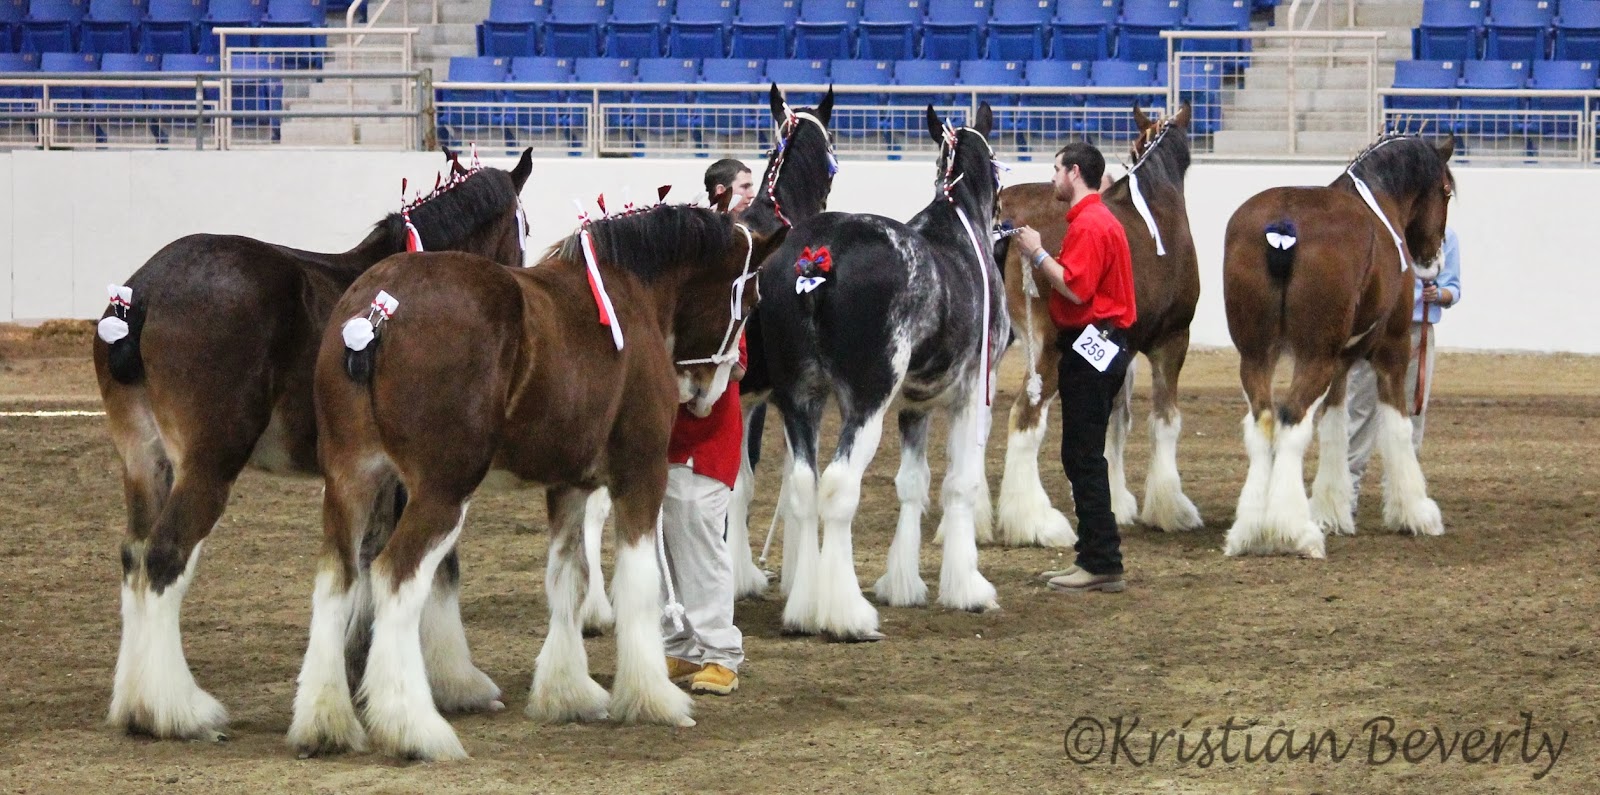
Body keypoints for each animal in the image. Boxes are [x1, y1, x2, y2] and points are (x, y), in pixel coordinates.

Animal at [91, 147, 532, 742]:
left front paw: (361, 673)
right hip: (207, 466)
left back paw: (134, 704)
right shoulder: (420, 475)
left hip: (142, 461)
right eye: (521, 227)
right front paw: (456, 682)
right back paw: (178, 711)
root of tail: (141, 297)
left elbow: (366, 561)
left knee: (134, 555)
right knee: (163, 557)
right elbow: (436, 570)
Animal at [287, 202, 782, 761]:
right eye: (750, 301)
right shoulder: (640, 473)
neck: (632, 295)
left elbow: (569, 579)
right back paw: (415, 727)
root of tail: (377, 312)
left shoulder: (569, 485)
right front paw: (654, 698)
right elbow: (638, 584)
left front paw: (568, 693)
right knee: (395, 577)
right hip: (440, 491)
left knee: (338, 579)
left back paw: (324, 723)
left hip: (351, 480)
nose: (714, 390)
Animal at [757, 104, 1007, 641]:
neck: (960, 229)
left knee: (805, 486)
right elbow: (960, 484)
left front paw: (903, 585)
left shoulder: (914, 406)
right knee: (837, 486)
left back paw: (804, 610)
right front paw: (968, 589)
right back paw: (847, 616)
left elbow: (912, 484)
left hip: (800, 400)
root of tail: (817, 256)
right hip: (866, 402)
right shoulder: (974, 395)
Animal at [1220, 133, 1454, 558]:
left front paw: (1331, 511)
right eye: (1446, 191)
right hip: (1315, 358)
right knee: (1292, 419)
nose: (1434, 259)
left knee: (1263, 421)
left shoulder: (1342, 362)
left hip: (1258, 357)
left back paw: (1251, 531)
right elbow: (1396, 427)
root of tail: (1284, 224)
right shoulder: (1392, 350)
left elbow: (1334, 426)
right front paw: (1415, 512)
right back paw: (1295, 531)